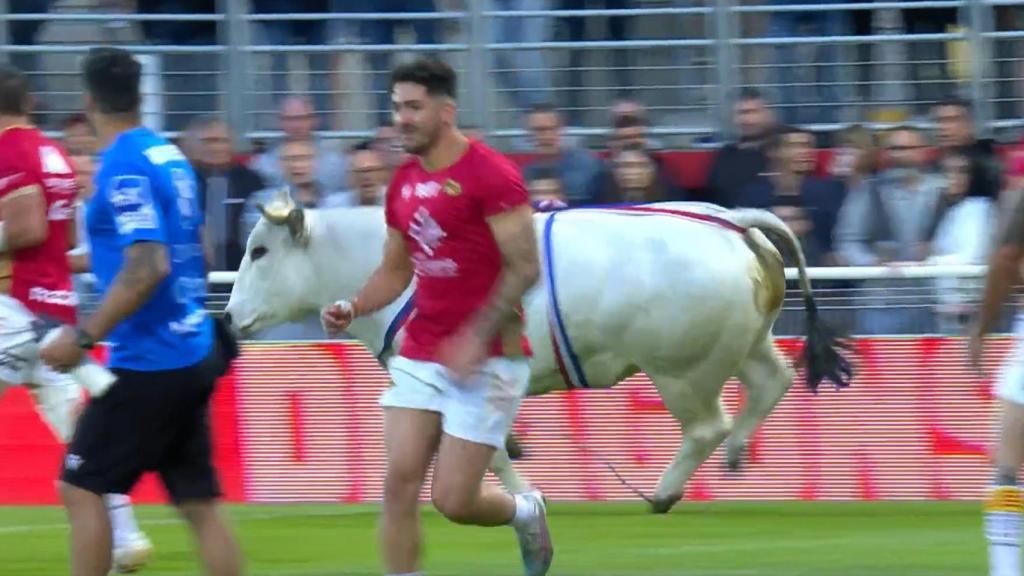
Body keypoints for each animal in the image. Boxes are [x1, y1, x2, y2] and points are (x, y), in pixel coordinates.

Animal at [224, 191, 847, 510]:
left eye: (259, 250)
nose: (228, 317)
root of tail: (732, 221)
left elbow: (488, 451)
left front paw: (524, 493)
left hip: (680, 370)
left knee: (705, 426)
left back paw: (664, 491)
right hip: (746, 344)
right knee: (773, 382)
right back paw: (737, 454)